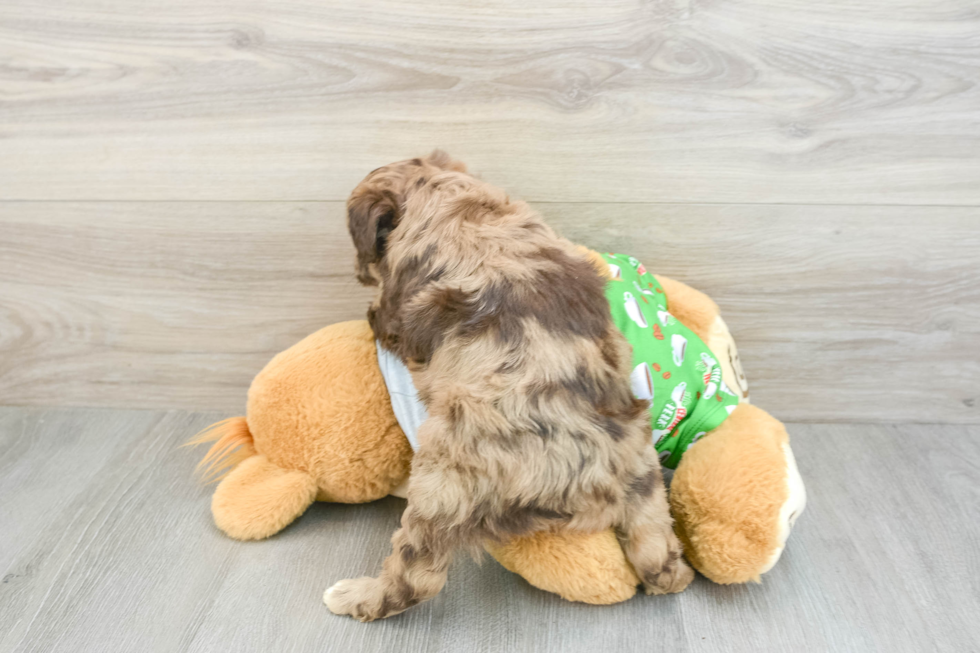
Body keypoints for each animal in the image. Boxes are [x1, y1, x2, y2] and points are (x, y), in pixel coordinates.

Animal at [326, 150, 692, 620]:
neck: (451, 195)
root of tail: (590, 480)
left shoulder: (398, 305)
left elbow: (384, 316)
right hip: (645, 478)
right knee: (658, 560)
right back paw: (672, 573)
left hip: (443, 480)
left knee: (417, 577)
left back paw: (355, 596)